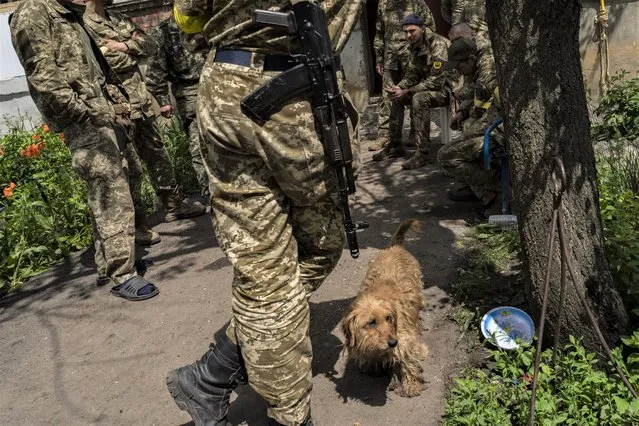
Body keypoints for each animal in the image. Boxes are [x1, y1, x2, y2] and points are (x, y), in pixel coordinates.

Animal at [342, 218, 428, 398]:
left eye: (389, 318)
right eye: (371, 322)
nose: (392, 342)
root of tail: (395, 246)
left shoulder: (404, 340)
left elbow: (408, 360)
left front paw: (410, 384)